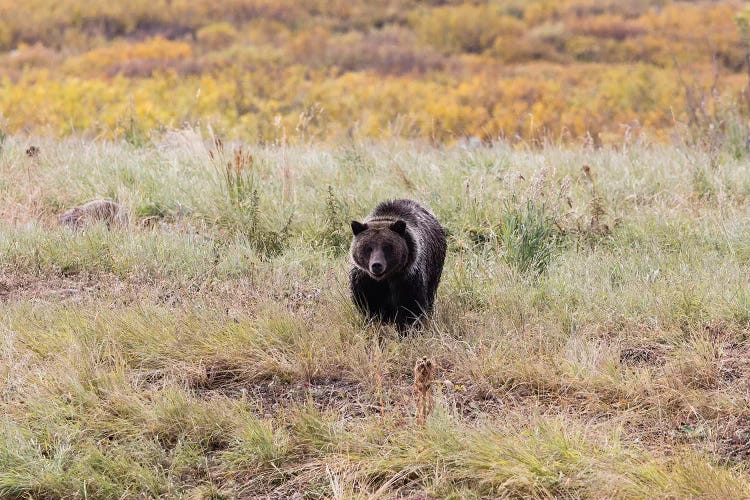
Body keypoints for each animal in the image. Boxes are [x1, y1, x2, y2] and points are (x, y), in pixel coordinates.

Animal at [352, 197, 450, 330]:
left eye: (387, 247)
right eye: (368, 248)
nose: (376, 265)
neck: (386, 279)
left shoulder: (407, 279)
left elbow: (410, 309)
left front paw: (407, 329)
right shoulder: (366, 283)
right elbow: (370, 308)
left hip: (434, 268)